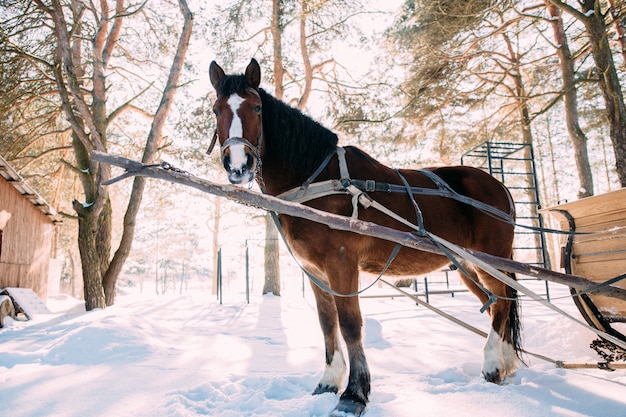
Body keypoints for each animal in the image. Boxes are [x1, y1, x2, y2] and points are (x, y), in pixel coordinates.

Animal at [207, 59, 520, 416]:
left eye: (257, 107)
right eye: (216, 110)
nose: (238, 166)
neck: (316, 179)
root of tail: (497, 185)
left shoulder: (342, 263)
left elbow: (349, 323)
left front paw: (354, 394)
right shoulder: (314, 271)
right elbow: (326, 322)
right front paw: (329, 381)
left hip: (490, 259)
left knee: (503, 300)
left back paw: (493, 365)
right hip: (468, 266)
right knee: (496, 303)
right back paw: (507, 361)